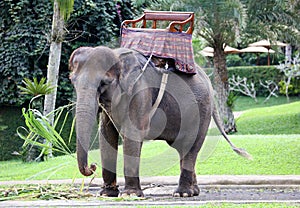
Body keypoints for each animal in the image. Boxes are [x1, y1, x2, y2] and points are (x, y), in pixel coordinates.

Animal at [68, 46, 251, 198]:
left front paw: (130, 195)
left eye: (104, 82)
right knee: (183, 149)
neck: (119, 56)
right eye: (72, 81)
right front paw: (107, 194)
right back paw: (194, 191)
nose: (92, 167)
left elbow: (132, 134)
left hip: (202, 112)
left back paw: (183, 193)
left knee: (191, 147)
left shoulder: (141, 93)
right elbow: (106, 136)